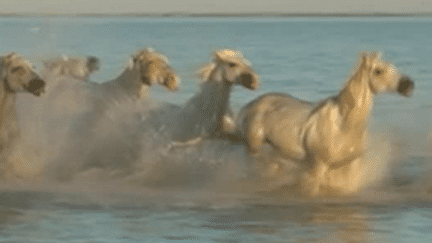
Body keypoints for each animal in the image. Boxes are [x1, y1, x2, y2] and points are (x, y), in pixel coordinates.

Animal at [238, 52, 414, 196]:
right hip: (254, 150)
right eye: (378, 71)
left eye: (394, 67)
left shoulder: (351, 166)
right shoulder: (319, 166)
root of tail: (251, 105)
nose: (409, 85)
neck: (343, 125)